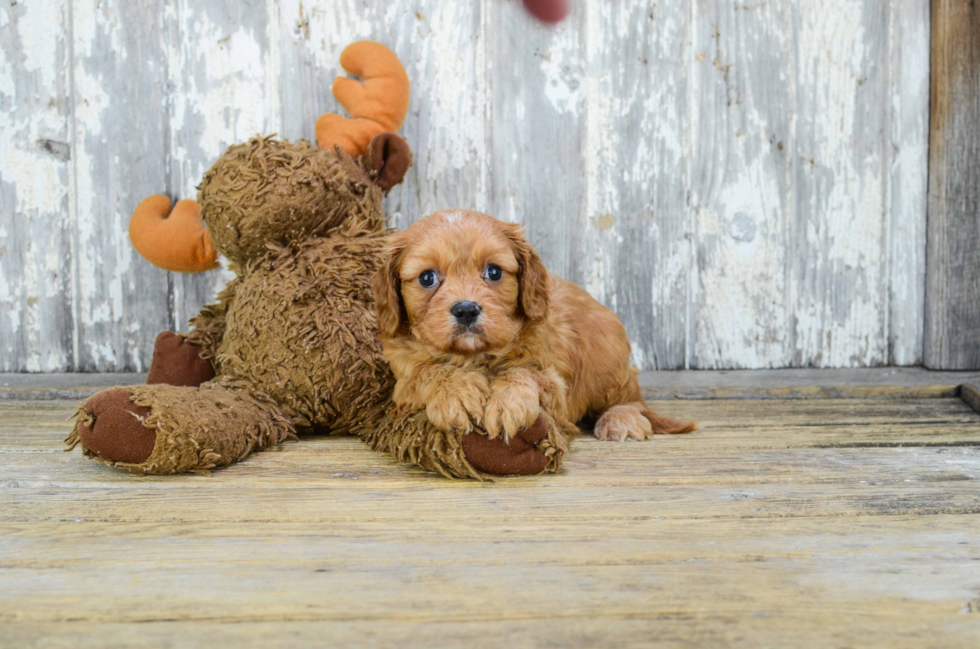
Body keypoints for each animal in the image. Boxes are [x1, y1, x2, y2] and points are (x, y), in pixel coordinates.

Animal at [370, 210, 696, 442]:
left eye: (493, 272)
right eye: (427, 278)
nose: (466, 310)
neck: (475, 356)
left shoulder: (556, 386)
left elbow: (525, 372)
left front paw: (506, 403)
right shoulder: (403, 385)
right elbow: (428, 370)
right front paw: (456, 393)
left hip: (609, 369)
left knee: (632, 402)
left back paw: (621, 420)